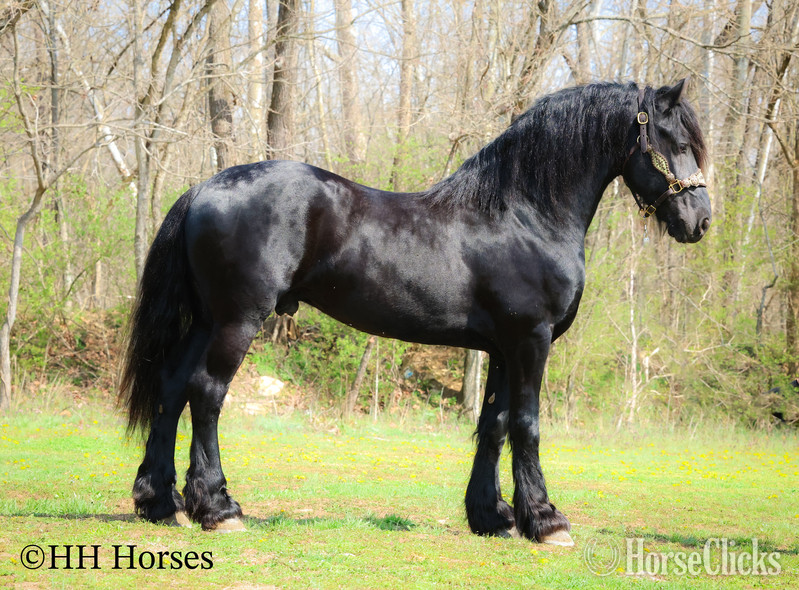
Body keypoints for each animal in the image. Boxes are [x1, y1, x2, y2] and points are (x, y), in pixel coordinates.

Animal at [120, 79, 711, 545]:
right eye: (677, 142)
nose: (700, 221)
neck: (524, 215)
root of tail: (203, 188)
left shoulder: (501, 347)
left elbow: (493, 424)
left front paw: (492, 517)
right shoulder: (531, 340)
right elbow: (527, 423)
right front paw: (546, 521)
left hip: (206, 321)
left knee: (172, 388)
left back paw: (159, 504)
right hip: (237, 321)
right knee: (206, 394)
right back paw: (218, 508)